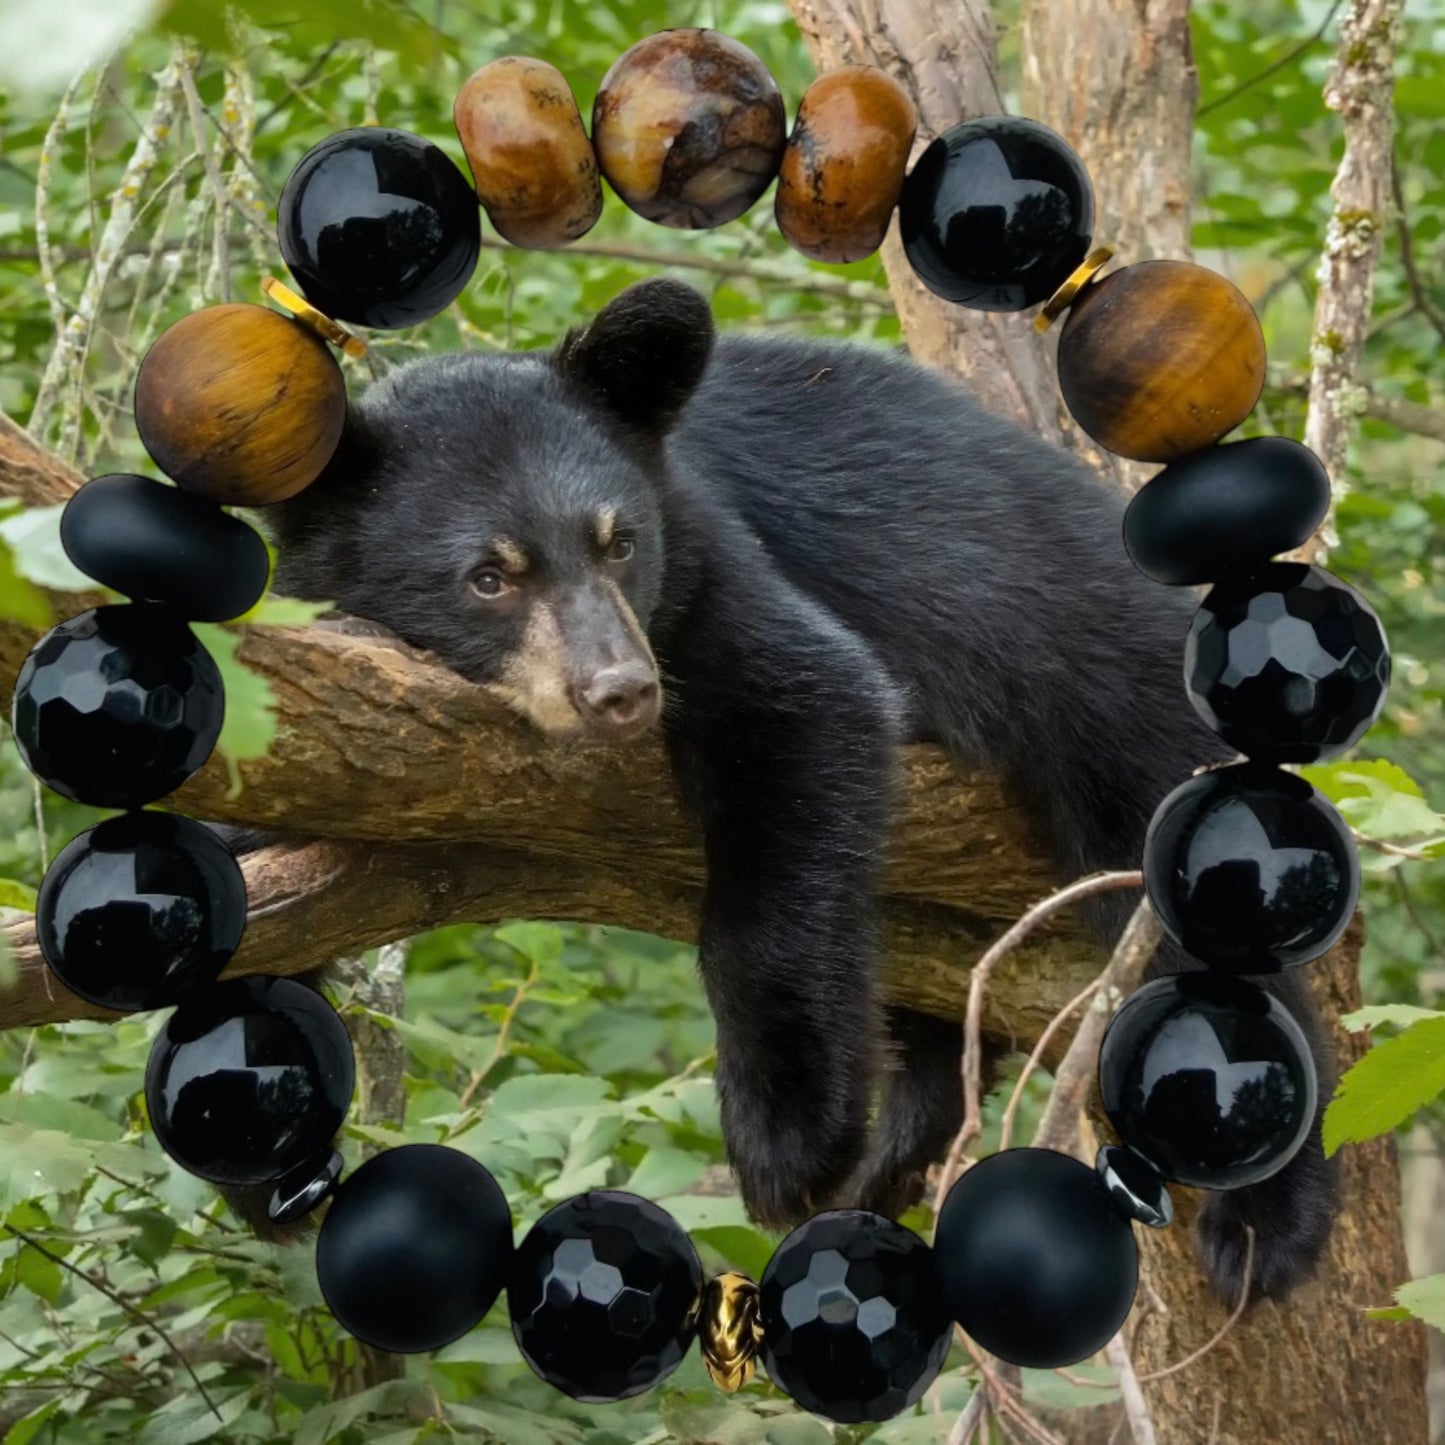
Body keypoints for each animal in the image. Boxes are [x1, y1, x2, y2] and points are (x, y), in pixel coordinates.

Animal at [242, 277, 1336, 1304]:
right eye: (486, 576)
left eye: (618, 541)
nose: (620, 691)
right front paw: (271, 1145)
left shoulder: (710, 567)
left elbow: (810, 714)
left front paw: (789, 1138)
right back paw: (907, 1139)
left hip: (1115, 696)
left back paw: (1263, 1217)